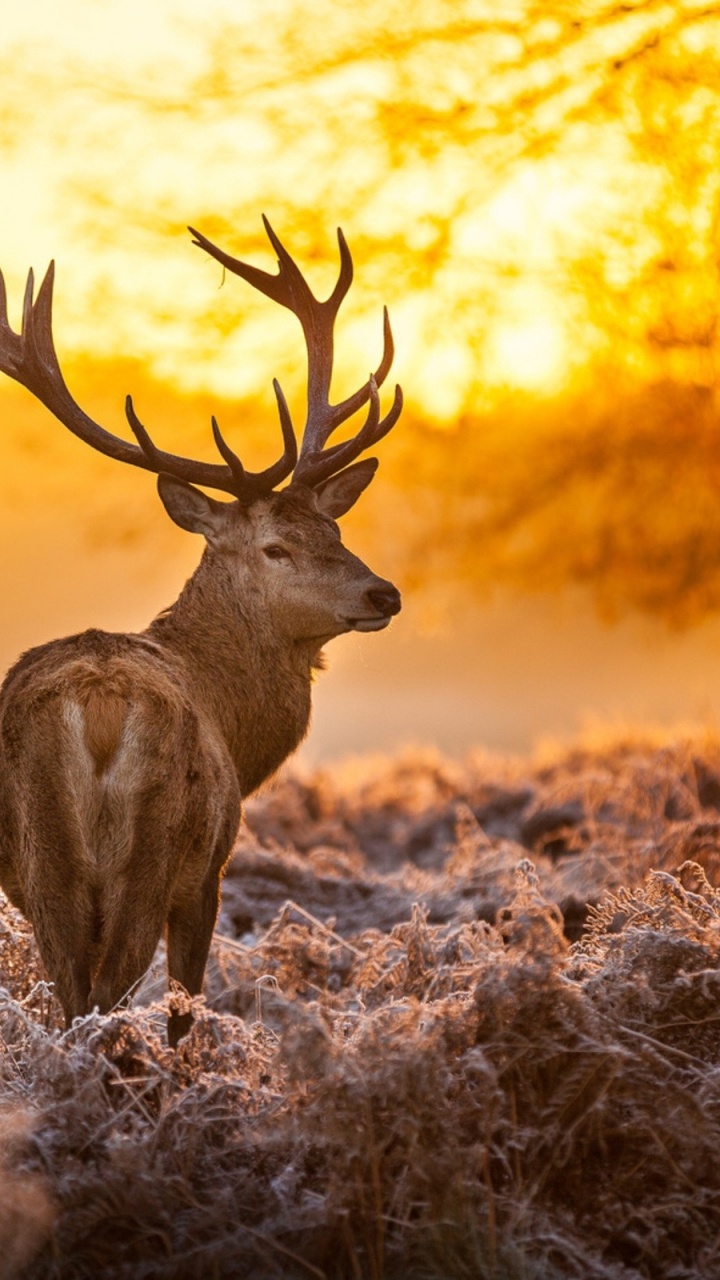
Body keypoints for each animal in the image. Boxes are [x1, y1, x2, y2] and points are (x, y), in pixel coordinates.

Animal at [0, 218, 402, 1046]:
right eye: (276, 546)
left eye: (334, 528)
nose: (384, 591)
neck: (238, 729)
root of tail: (98, 707)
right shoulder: (210, 869)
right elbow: (187, 1001)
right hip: (153, 850)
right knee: (108, 993)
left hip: (40, 853)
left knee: (70, 995)